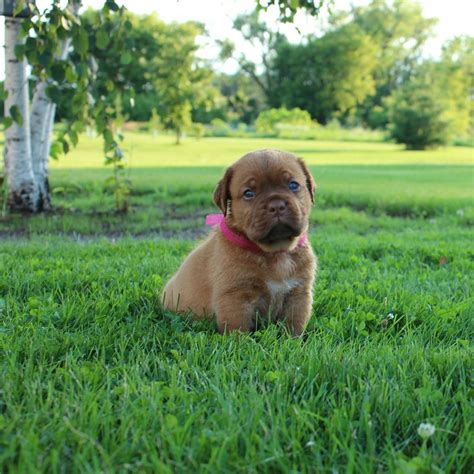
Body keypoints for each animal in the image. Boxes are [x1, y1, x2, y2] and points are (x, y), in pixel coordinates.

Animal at [163, 150, 318, 336]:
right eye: (248, 193)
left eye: (293, 185)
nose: (276, 205)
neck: (274, 252)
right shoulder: (235, 297)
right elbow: (238, 330)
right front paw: (241, 343)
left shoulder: (298, 294)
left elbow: (294, 325)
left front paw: (293, 340)